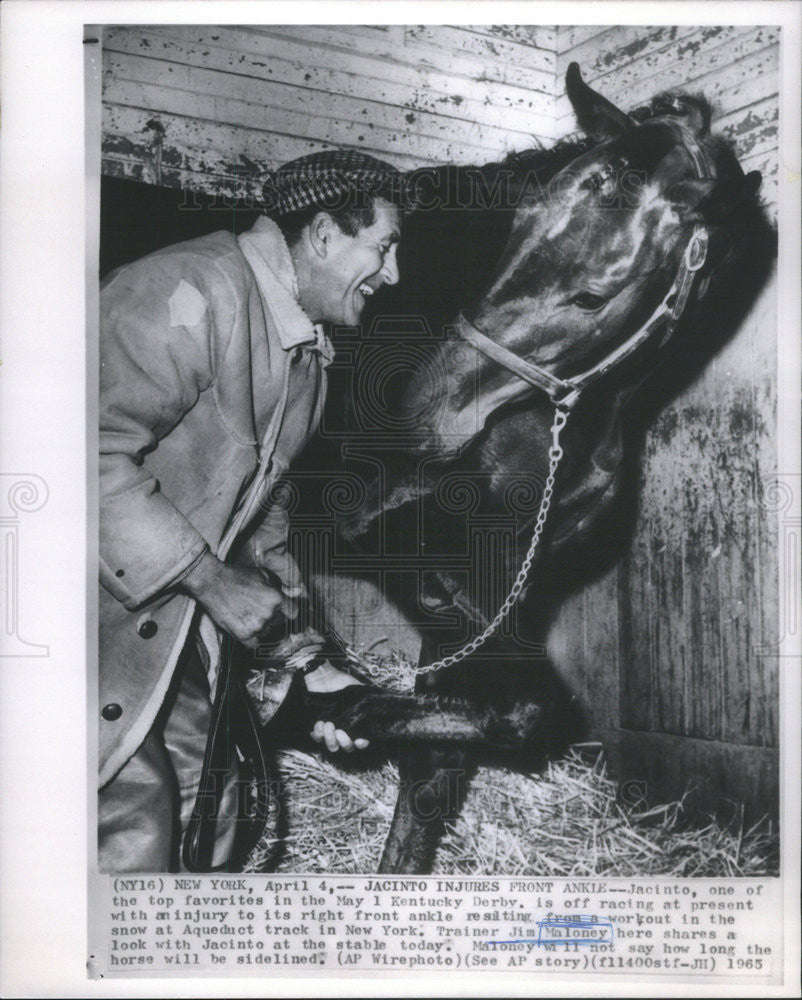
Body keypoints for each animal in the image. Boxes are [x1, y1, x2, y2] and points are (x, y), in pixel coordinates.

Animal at [245, 64, 776, 876]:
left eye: (592, 295)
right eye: (518, 221)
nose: (422, 415)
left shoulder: (513, 570)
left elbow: (460, 751)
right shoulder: (382, 532)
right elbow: (514, 710)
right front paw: (314, 709)